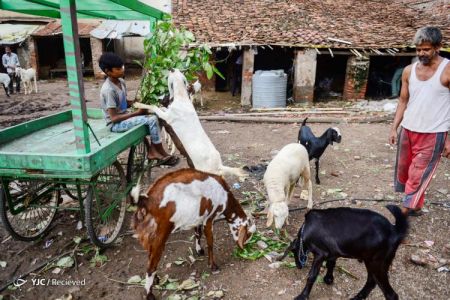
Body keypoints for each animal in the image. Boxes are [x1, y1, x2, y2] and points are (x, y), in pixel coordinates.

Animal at [132, 169, 255, 300]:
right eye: (248, 234)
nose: (244, 248)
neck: (225, 197)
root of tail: (146, 201)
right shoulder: (209, 219)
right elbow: (210, 243)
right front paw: (213, 266)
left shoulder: (199, 218)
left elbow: (197, 233)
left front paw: (199, 250)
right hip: (160, 235)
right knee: (150, 267)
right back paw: (149, 294)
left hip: (150, 236)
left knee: (150, 259)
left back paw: (156, 279)